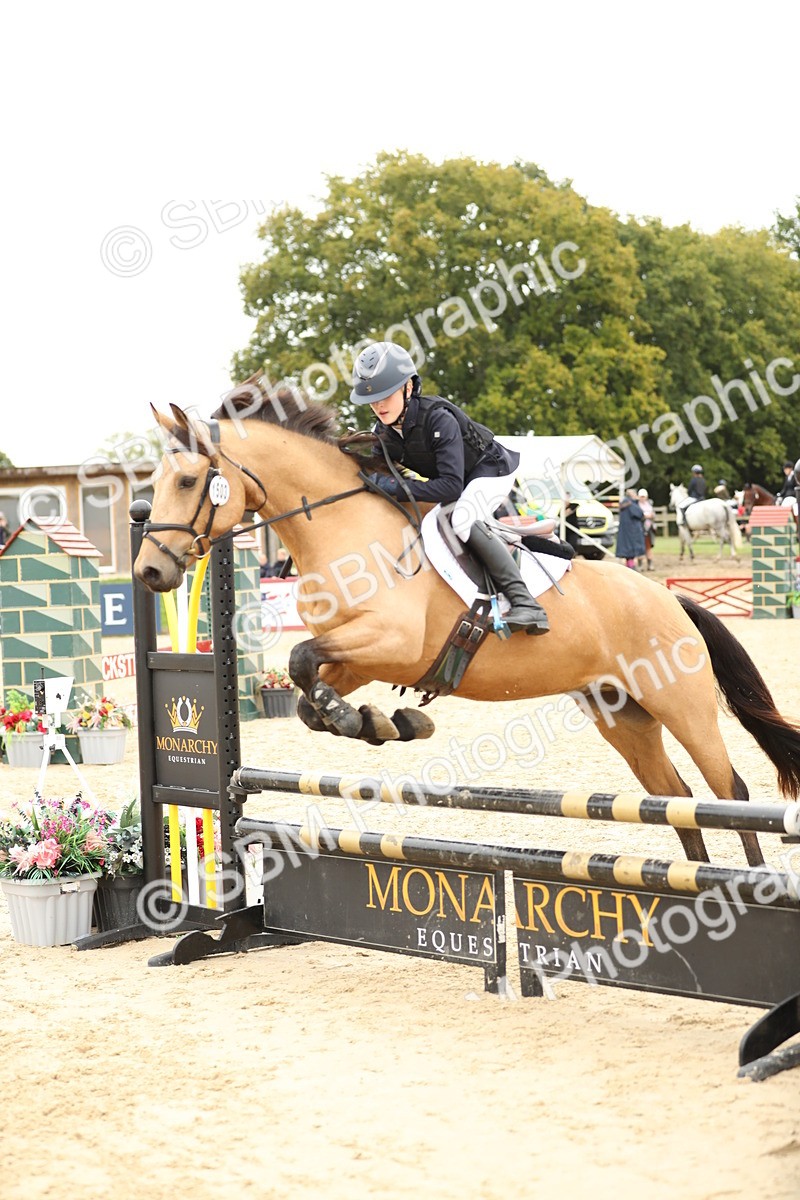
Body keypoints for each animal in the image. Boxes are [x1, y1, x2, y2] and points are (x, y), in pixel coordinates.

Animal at [133, 383, 800, 868]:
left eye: (188, 481)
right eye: (154, 486)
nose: (148, 571)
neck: (344, 530)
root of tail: (668, 599)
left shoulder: (392, 643)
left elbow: (300, 663)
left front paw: (369, 720)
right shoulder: (355, 657)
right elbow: (305, 689)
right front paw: (382, 722)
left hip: (680, 702)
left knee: (728, 792)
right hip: (622, 714)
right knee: (677, 801)